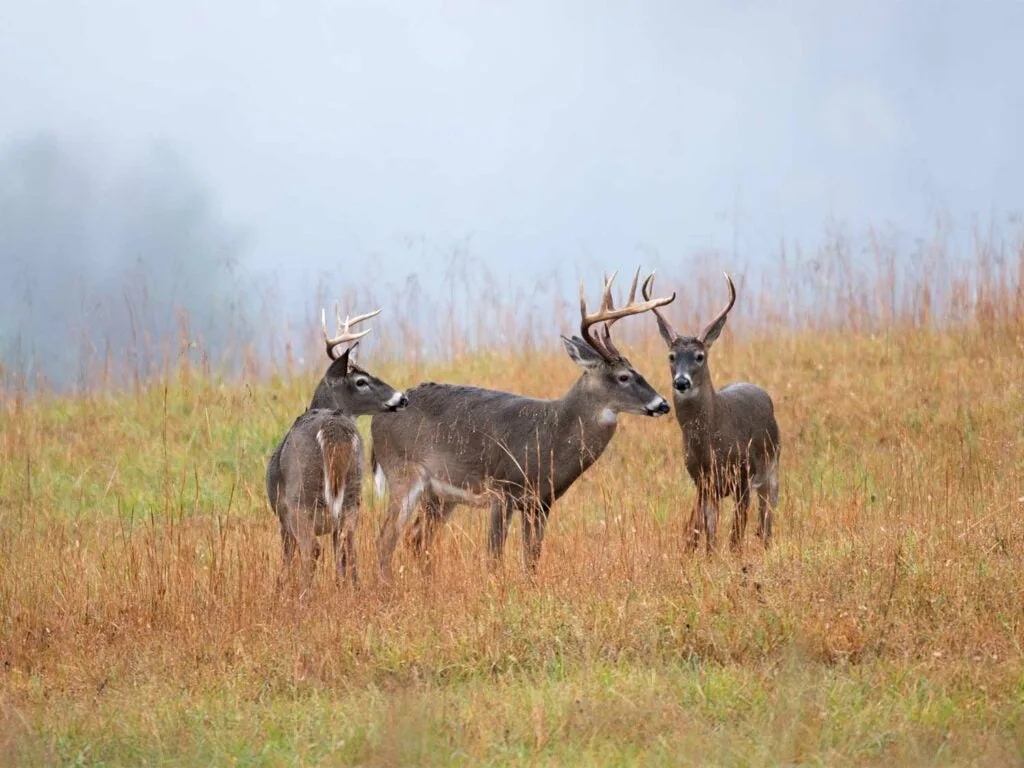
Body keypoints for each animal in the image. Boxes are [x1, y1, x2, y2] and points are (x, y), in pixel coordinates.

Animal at [266, 303, 409, 585]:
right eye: (361, 381)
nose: (402, 398)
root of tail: (334, 428)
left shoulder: (282, 514)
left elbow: (286, 560)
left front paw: (279, 588)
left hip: (300, 497)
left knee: (313, 549)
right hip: (353, 491)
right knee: (348, 545)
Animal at [372, 268, 675, 581]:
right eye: (624, 376)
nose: (662, 403)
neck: (552, 434)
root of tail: (378, 416)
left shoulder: (541, 502)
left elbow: (531, 558)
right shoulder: (501, 490)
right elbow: (493, 556)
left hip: (440, 494)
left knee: (417, 538)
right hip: (403, 473)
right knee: (386, 538)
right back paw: (388, 584)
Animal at [643, 274, 778, 557]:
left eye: (699, 356)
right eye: (671, 356)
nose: (681, 382)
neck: (711, 446)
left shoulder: (742, 475)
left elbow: (736, 532)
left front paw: (735, 557)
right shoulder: (703, 481)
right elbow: (710, 530)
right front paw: (710, 557)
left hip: (772, 467)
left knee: (767, 515)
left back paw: (766, 545)